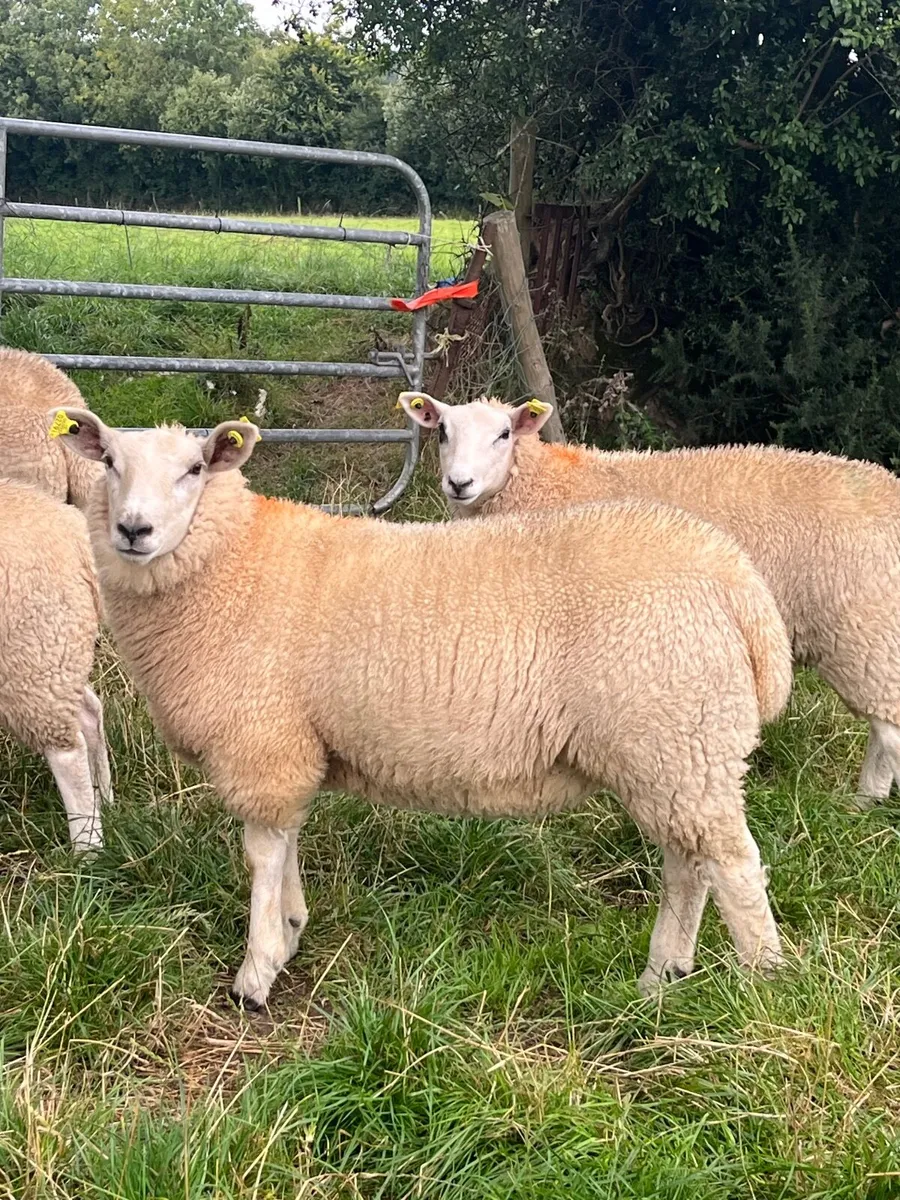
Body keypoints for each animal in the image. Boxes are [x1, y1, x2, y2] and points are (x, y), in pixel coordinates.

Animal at [0, 479, 110, 850]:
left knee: (68, 750)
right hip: (56, 654)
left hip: (33, 655)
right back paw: (106, 799)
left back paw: (87, 850)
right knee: (90, 713)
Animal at [53, 406, 793, 1009]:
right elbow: (287, 843)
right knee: (688, 864)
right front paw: (291, 930)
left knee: (732, 866)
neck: (228, 566)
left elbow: (262, 854)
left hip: (676, 736)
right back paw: (662, 978)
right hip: (674, 750)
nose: (134, 529)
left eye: (195, 469)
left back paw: (761, 985)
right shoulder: (293, 745)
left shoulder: (260, 741)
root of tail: (736, 580)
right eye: (109, 462)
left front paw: (256, 974)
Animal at [398, 390, 900, 808]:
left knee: (889, 730)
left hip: (863, 630)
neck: (542, 484)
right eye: (442, 432)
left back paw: (862, 804)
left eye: (503, 434)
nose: (459, 483)